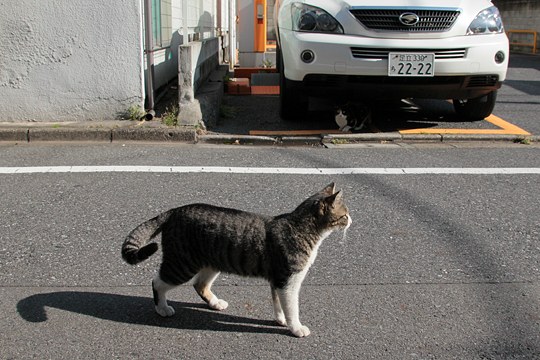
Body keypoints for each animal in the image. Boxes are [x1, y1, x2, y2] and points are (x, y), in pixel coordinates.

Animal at [120, 183, 352, 338]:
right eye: (344, 215)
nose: (351, 220)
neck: (300, 229)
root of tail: (174, 211)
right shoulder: (288, 281)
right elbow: (292, 307)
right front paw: (295, 327)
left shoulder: (277, 280)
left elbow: (278, 303)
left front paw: (280, 319)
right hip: (182, 264)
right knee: (158, 282)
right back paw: (162, 308)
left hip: (211, 262)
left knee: (199, 284)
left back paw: (214, 302)